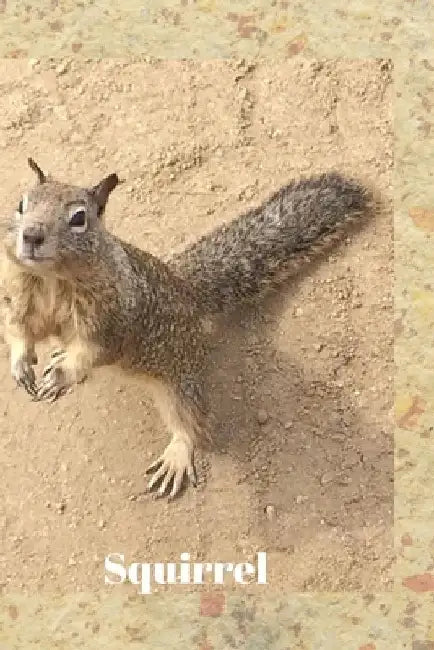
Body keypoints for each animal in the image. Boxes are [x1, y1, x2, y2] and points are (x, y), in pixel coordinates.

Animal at [1, 158, 371, 500]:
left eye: (79, 218)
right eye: (21, 204)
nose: (31, 235)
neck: (53, 279)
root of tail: (186, 289)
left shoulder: (111, 320)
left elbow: (91, 352)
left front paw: (60, 377)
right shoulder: (20, 303)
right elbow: (19, 331)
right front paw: (21, 366)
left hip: (179, 381)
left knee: (189, 420)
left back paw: (177, 455)